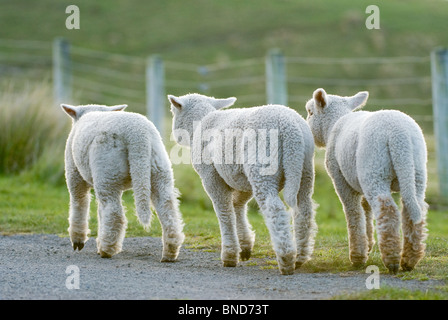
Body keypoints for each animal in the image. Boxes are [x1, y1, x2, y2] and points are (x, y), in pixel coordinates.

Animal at [60, 104, 184, 262]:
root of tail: (138, 135)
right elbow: (100, 212)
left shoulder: (74, 174)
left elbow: (79, 203)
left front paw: (78, 240)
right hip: (159, 169)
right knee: (168, 208)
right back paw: (170, 252)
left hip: (107, 169)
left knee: (114, 213)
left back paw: (106, 250)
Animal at [168, 93, 318, 276]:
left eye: (173, 111)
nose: (176, 136)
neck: (201, 122)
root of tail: (292, 130)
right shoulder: (241, 178)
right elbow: (237, 206)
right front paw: (245, 246)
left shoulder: (211, 176)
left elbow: (224, 212)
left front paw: (229, 255)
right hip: (304, 169)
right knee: (304, 210)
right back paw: (300, 257)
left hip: (262, 168)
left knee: (275, 209)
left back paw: (286, 259)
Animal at [304, 89, 428, 274]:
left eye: (311, 112)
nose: (309, 133)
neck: (334, 124)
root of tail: (399, 136)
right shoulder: (359, 181)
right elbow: (366, 209)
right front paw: (368, 245)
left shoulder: (341, 179)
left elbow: (354, 213)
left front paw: (358, 256)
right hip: (415, 172)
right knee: (414, 209)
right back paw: (409, 260)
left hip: (375, 169)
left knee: (387, 210)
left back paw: (392, 259)